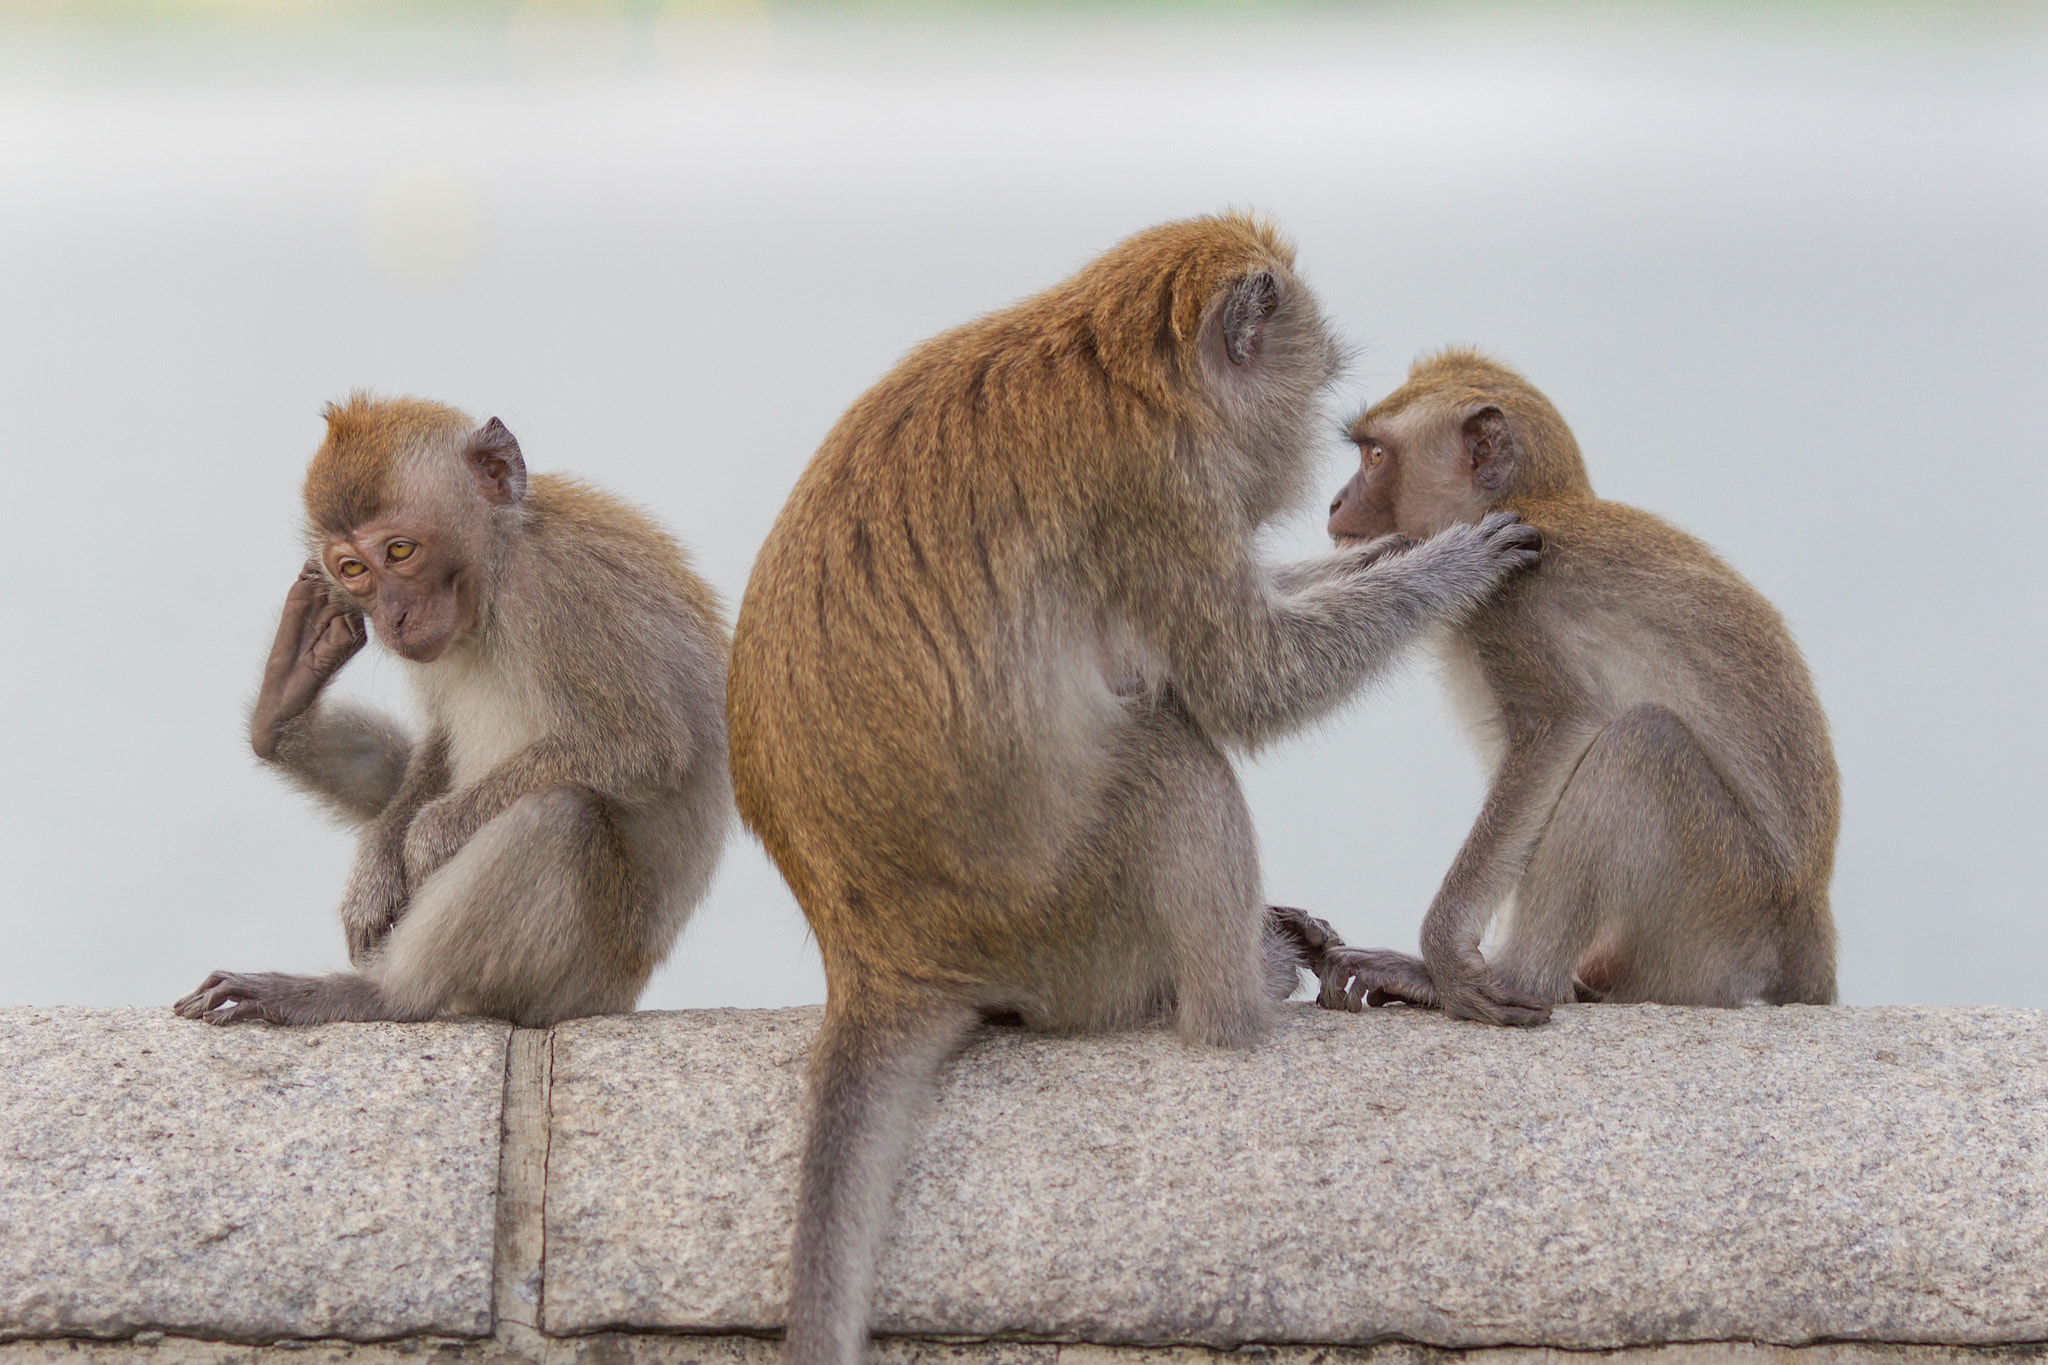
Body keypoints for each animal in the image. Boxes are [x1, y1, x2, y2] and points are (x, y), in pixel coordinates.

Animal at [174, 401, 737, 1031]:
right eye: (352, 568)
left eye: (399, 551)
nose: (393, 617)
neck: (493, 577)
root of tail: (624, 990)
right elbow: (440, 742)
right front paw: (375, 873)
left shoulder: (566, 588)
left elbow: (644, 746)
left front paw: (429, 836)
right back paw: (282, 708)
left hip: (584, 974)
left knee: (556, 817)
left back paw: (381, 994)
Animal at [720, 213, 1540, 1365]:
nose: (1327, 494)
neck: (1122, 366)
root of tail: (877, 959)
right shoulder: (1157, 490)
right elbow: (1248, 682)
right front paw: (1448, 566)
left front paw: (1395, 549)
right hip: (1063, 925)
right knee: (1167, 754)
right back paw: (1239, 1001)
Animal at [1318, 349, 1851, 1023]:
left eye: (1375, 455)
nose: (1335, 503)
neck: (1528, 504)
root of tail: (1811, 921)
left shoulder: (1510, 600)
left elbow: (1558, 729)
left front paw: (1447, 964)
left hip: (1725, 915)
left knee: (1642, 745)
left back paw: (1509, 977)